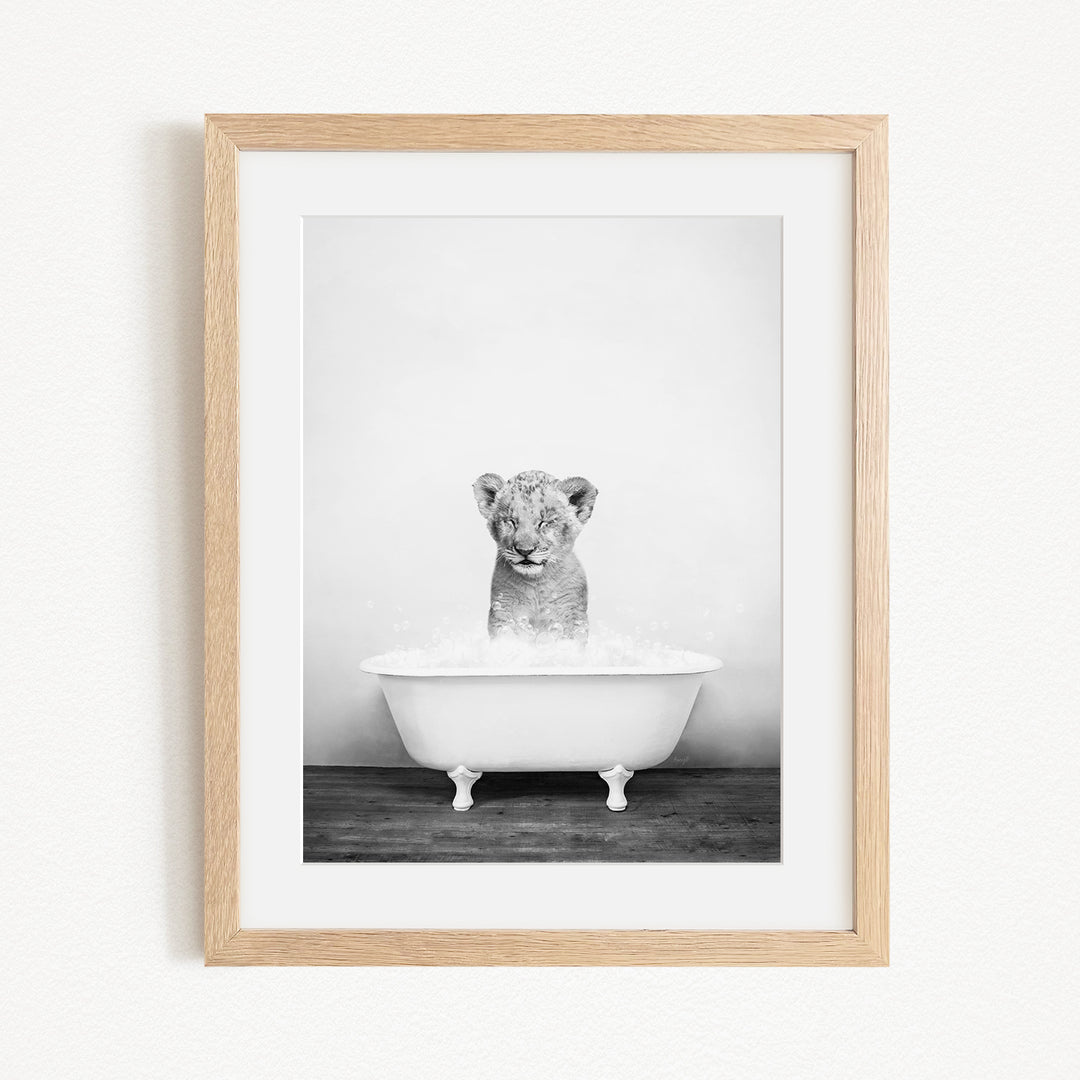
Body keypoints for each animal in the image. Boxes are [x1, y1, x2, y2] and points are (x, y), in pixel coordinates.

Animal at [472, 470, 598, 642]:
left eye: (545, 522)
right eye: (511, 521)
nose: (525, 551)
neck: (536, 583)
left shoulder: (570, 614)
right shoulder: (505, 610)